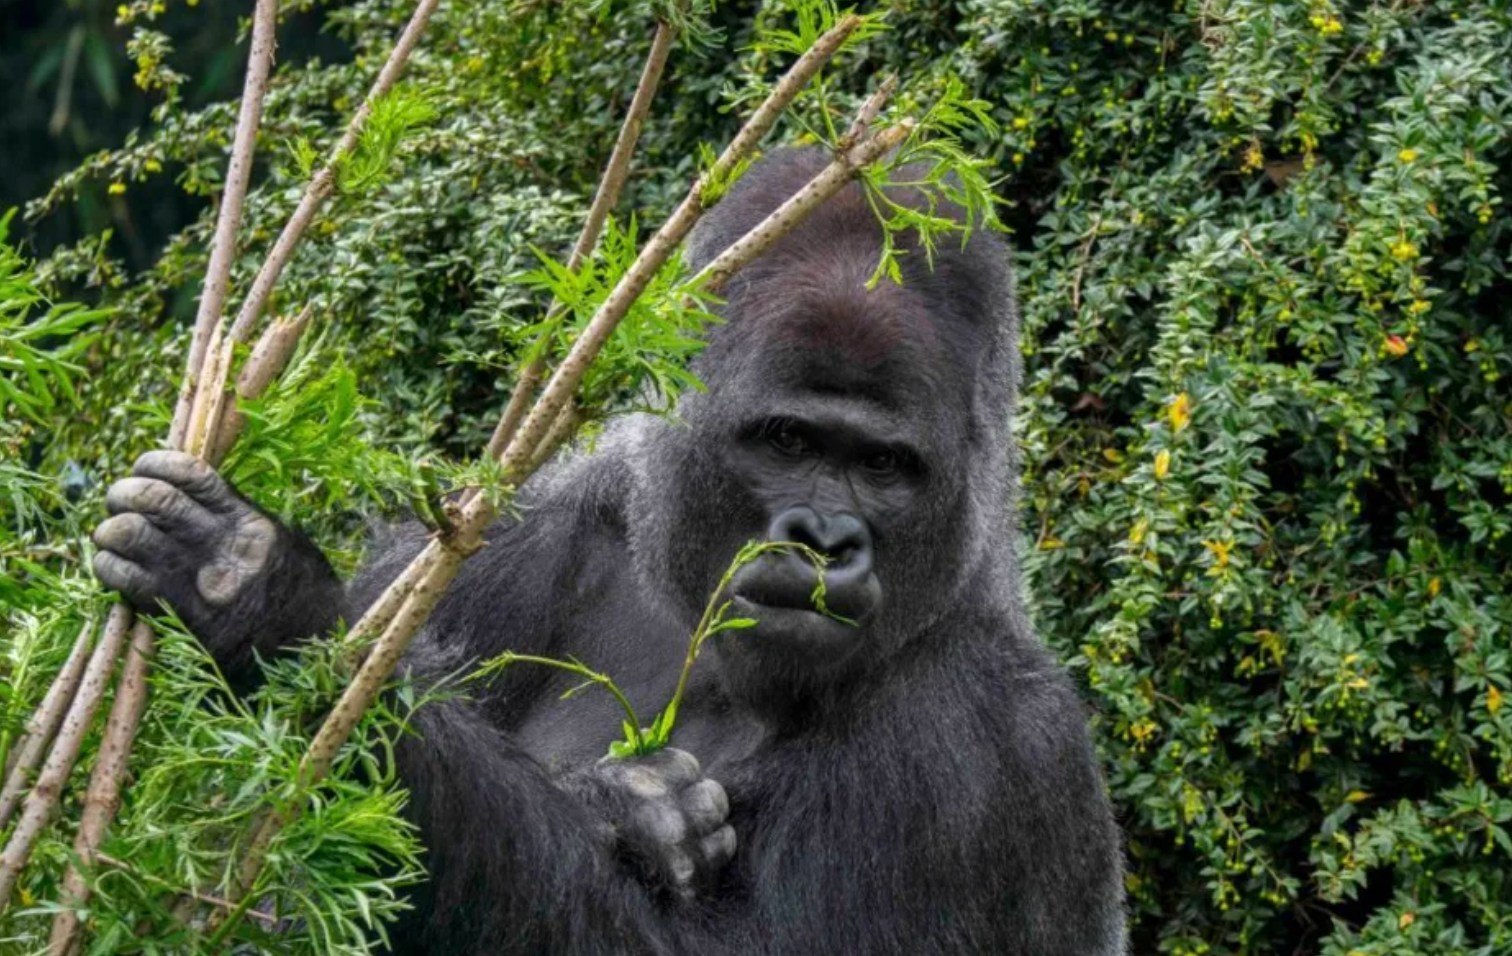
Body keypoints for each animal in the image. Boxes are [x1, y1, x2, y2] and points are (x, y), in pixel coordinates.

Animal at [91, 149, 1124, 956]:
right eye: (789, 442)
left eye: (882, 465)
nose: (826, 542)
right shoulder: (505, 536)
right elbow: (228, 875)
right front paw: (633, 808)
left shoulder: (991, 741)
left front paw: (269, 606)